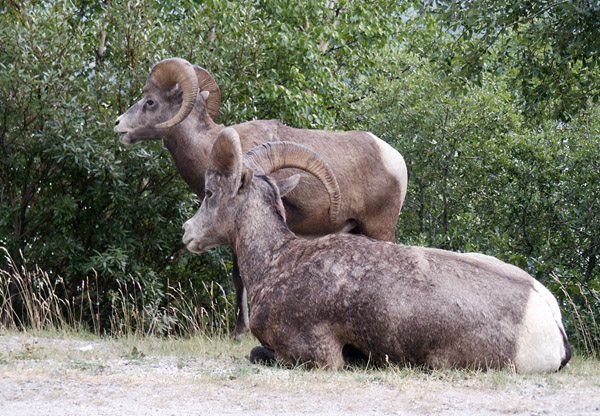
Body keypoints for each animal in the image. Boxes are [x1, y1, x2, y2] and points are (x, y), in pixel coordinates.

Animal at [113, 57, 408, 338]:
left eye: (150, 102)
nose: (118, 125)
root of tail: (395, 159)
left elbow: (240, 276)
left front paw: (238, 332)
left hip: (379, 227)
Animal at [182, 128, 572, 372]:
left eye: (211, 193)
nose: (187, 233)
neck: (278, 263)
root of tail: (549, 320)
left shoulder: (315, 354)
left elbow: (256, 353)